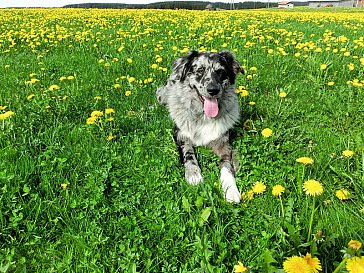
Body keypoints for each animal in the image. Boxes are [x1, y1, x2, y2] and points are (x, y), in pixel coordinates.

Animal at [157, 50, 245, 202]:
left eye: (220, 71)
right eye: (200, 70)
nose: (213, 90)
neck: (204, 117)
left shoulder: (224, 143)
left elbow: (227, 165)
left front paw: (230, 189)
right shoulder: (181, 134)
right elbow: (188, 153)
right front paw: (193, 174)